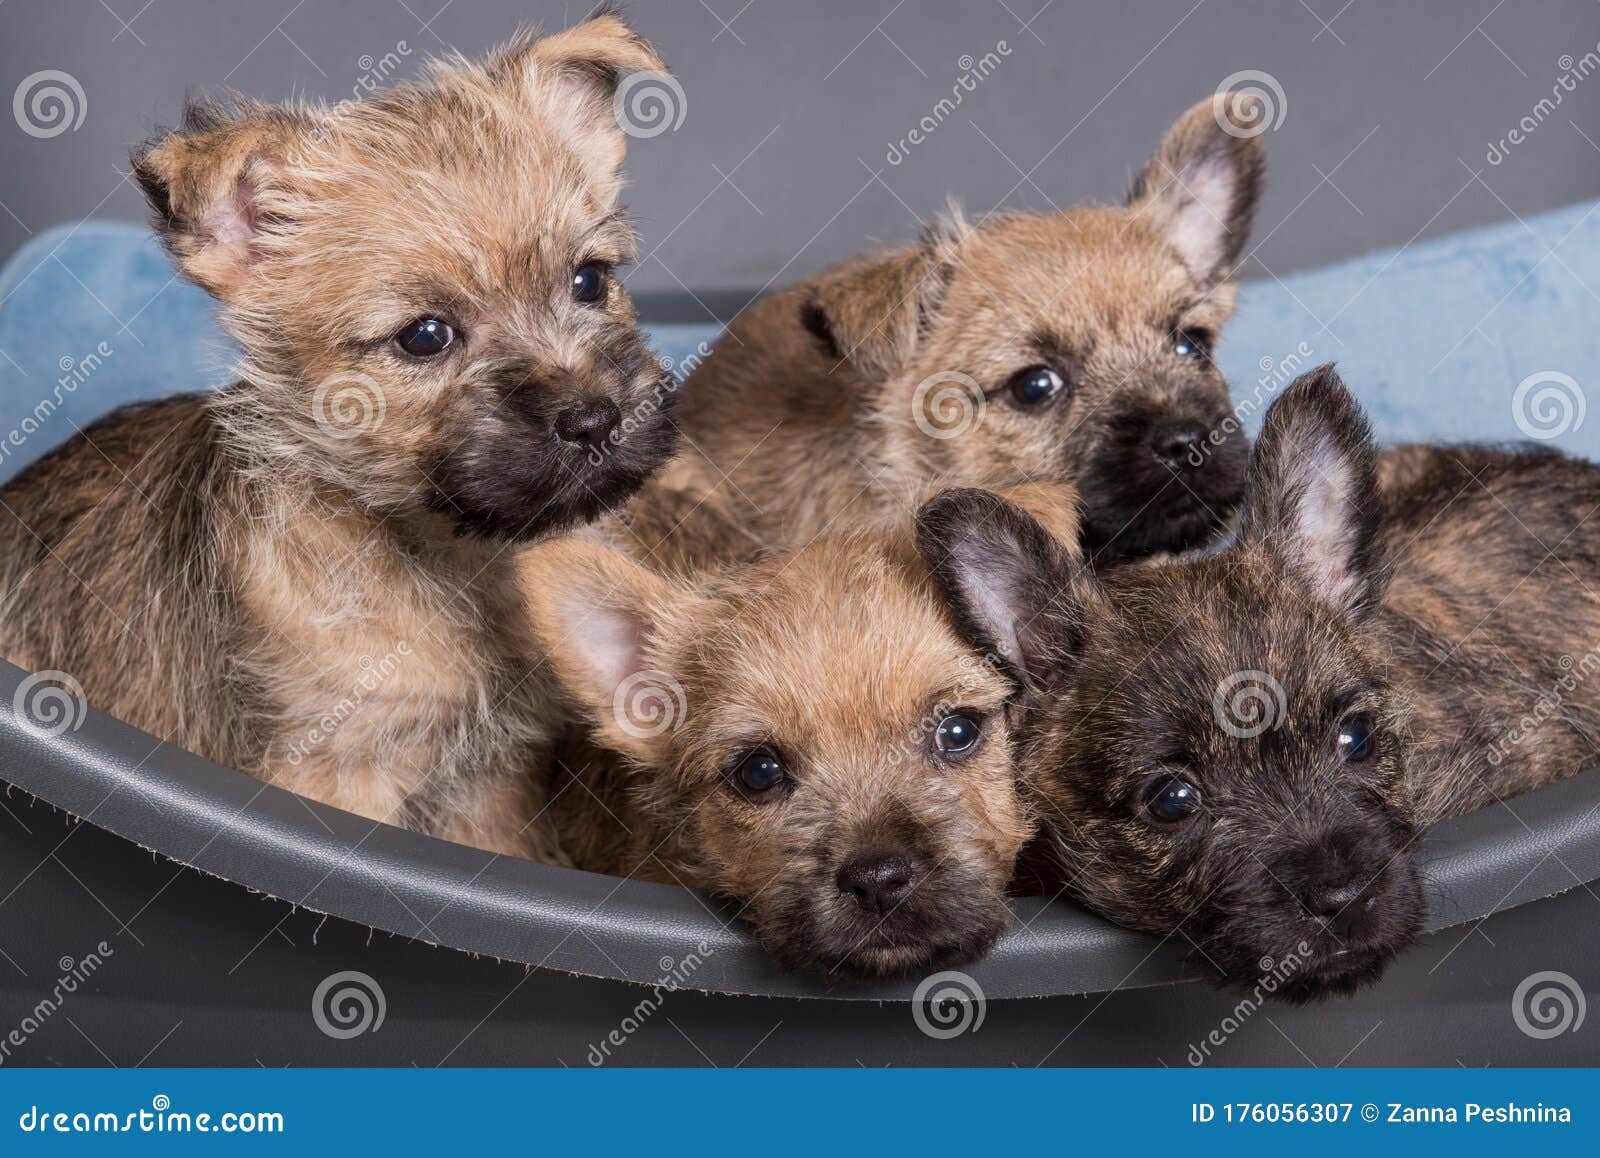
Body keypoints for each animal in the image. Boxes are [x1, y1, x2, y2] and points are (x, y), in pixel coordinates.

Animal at [0, 13, 675, 857]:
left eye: (589, 281)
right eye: (424, 337)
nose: (596, 420)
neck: (450, 558)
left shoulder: (490, 784)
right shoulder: (339, 771)